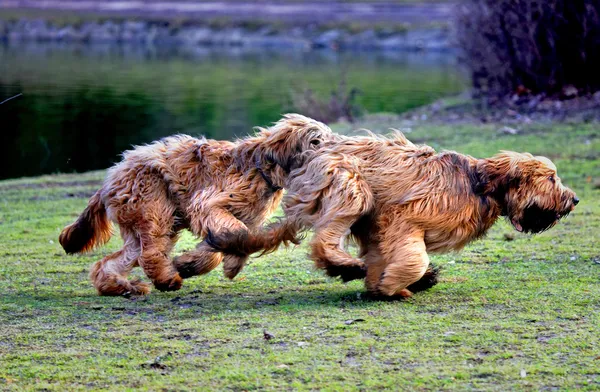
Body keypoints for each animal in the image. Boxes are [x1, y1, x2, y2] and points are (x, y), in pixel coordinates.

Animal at [58, 115, 330, 296]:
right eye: (315, 141)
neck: (261, 166)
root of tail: (110, 177)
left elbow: (228, 243)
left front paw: (195, 264)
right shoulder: (210, 205)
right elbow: (236, 233)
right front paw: (200, 264)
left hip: (142, 224)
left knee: (111, 262)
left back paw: (120, 286)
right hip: (152, 203)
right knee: (149, 253)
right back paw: (166, 280)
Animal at [213, 130, 580, 298]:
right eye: (551, 178)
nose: (575, 199)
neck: (481, 185)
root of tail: (317, 147)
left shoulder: (377, 226)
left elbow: (381, 256)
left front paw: (384, 285)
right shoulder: (401, 218)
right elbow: (413, 257)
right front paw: (395, 283)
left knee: (269, 233)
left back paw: (222, 250)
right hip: (351, 187)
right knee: (323, 242)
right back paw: (344, 265)